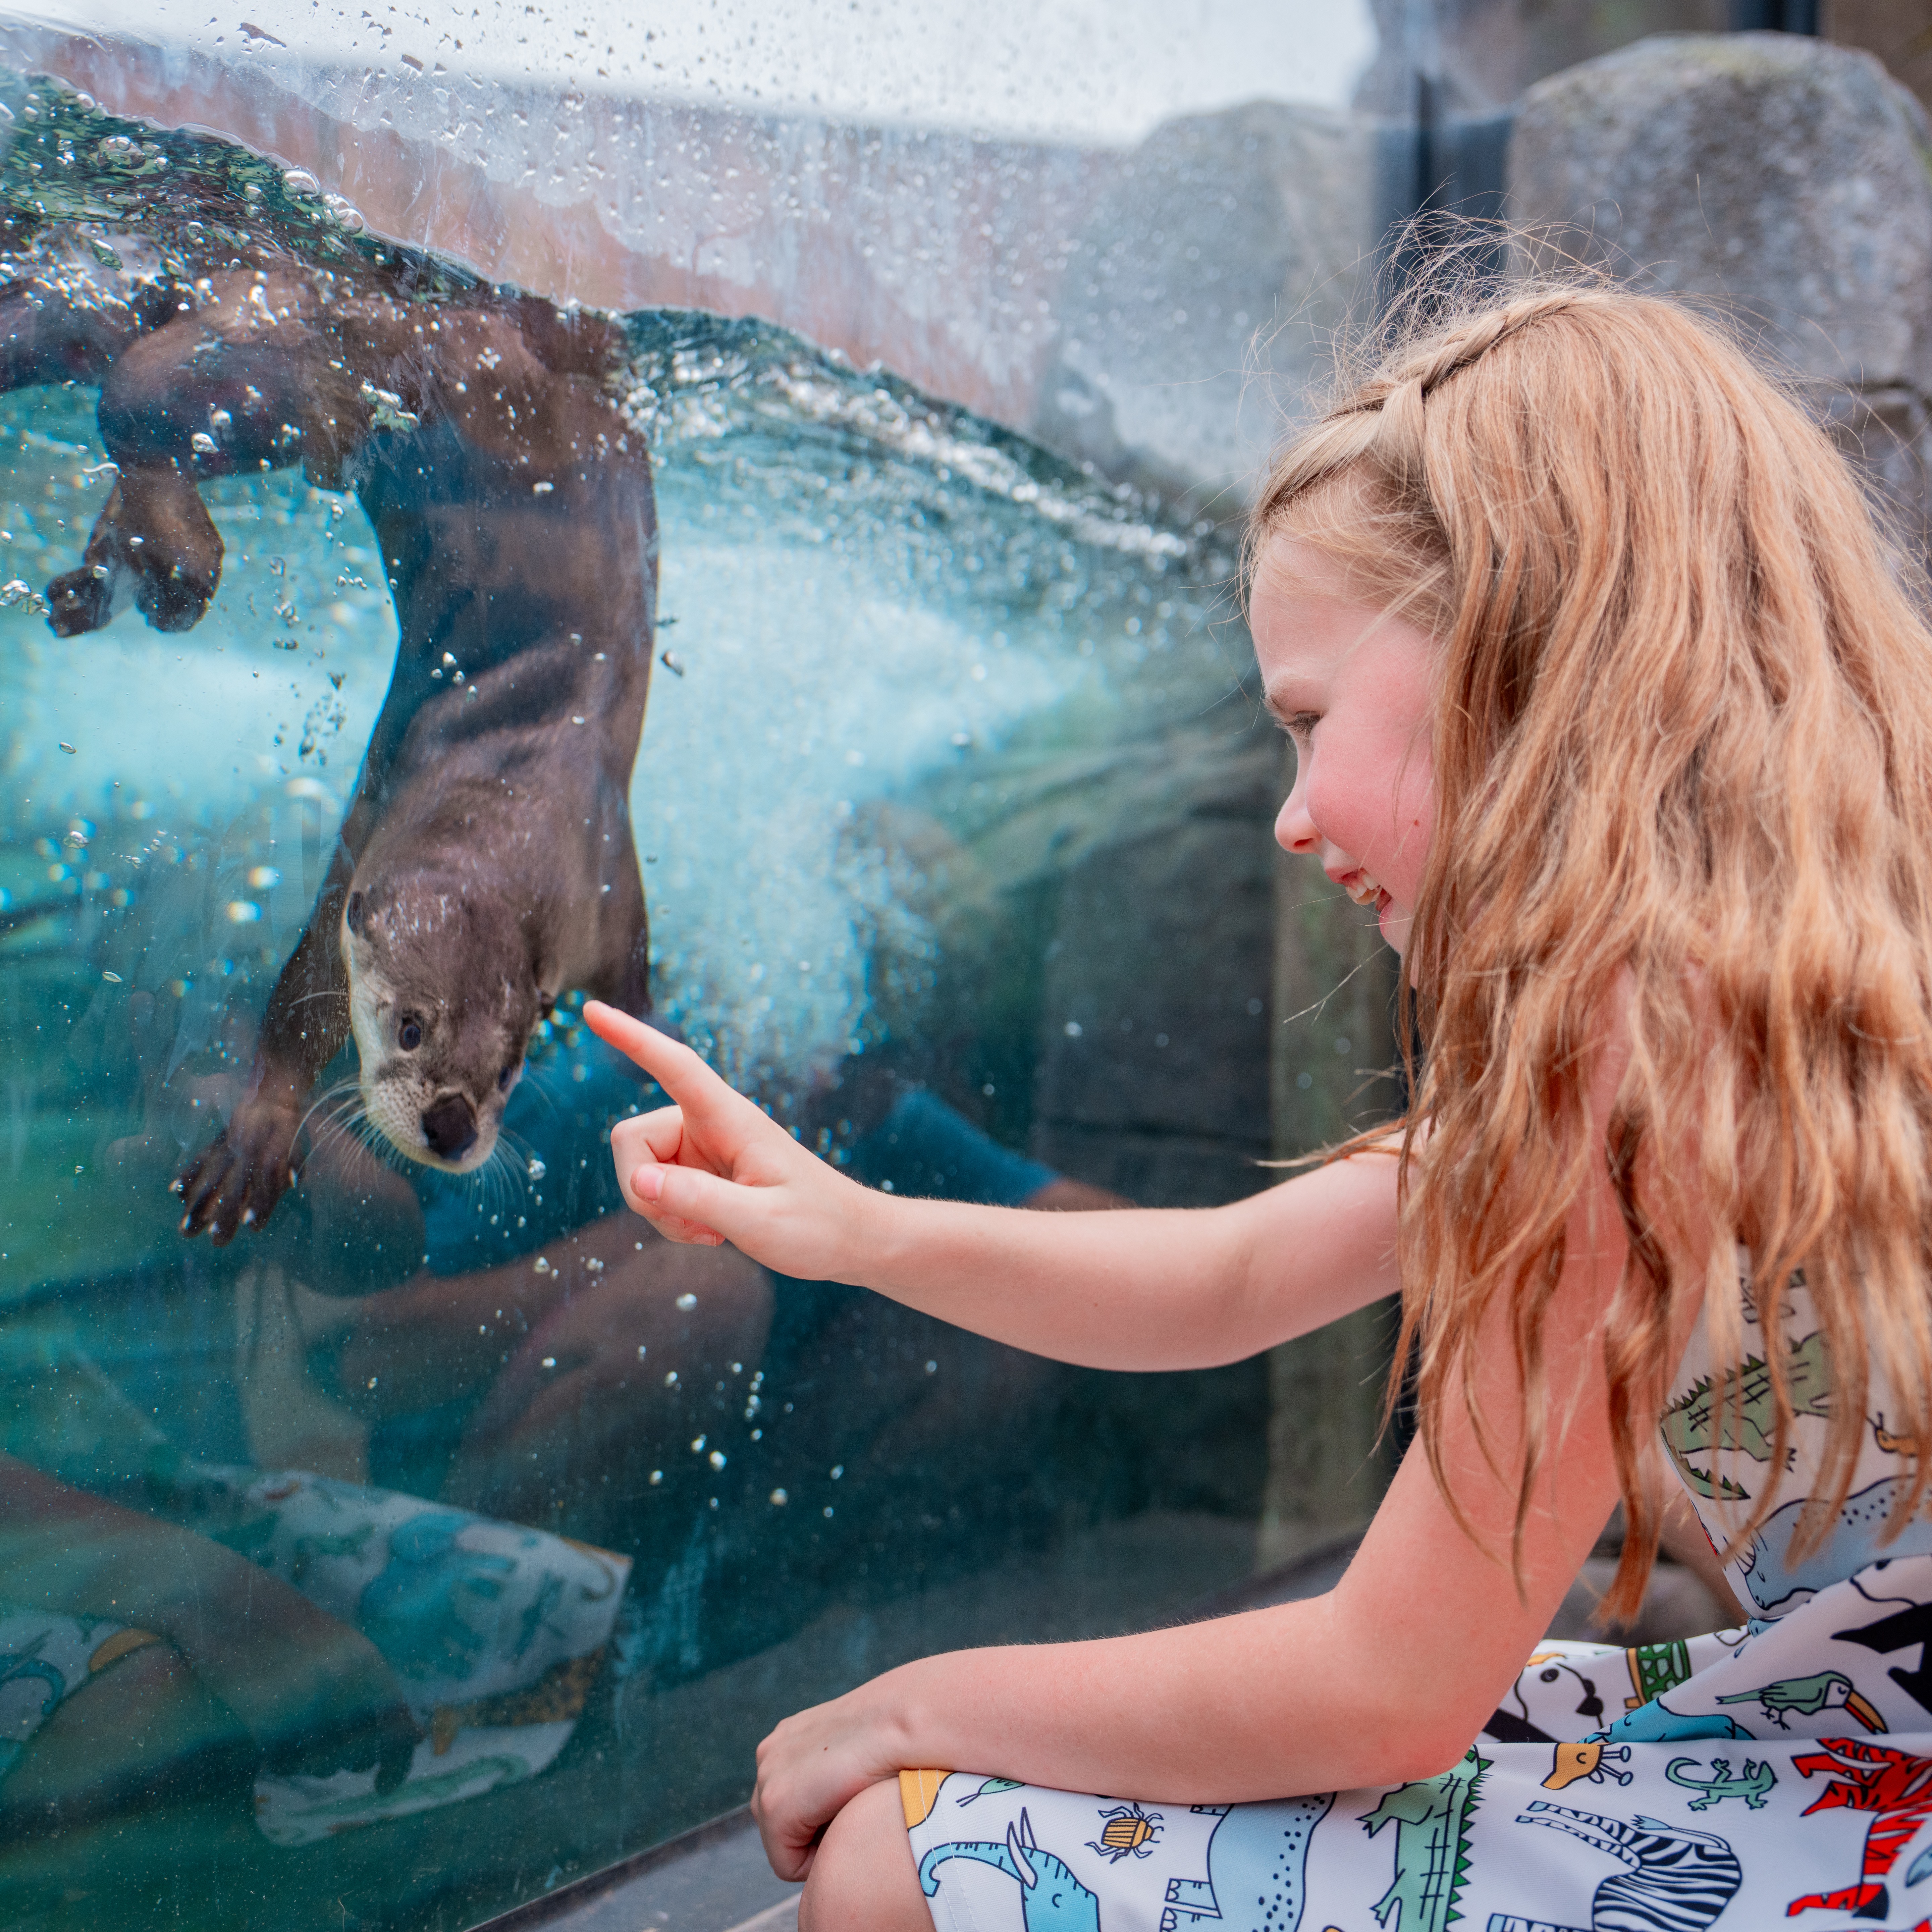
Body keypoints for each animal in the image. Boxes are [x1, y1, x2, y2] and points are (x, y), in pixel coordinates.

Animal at [0, 222, 657, 1240]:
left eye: (510, 1066)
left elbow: (637, 994)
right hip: (291, 366)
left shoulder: (603, 893)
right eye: (411, 1025)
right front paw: (259, 1133)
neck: (521, 768)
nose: (453, 1124)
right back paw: (178, 558)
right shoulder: (376, 827)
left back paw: (99, 585)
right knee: (140, 399)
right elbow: (303, 992)